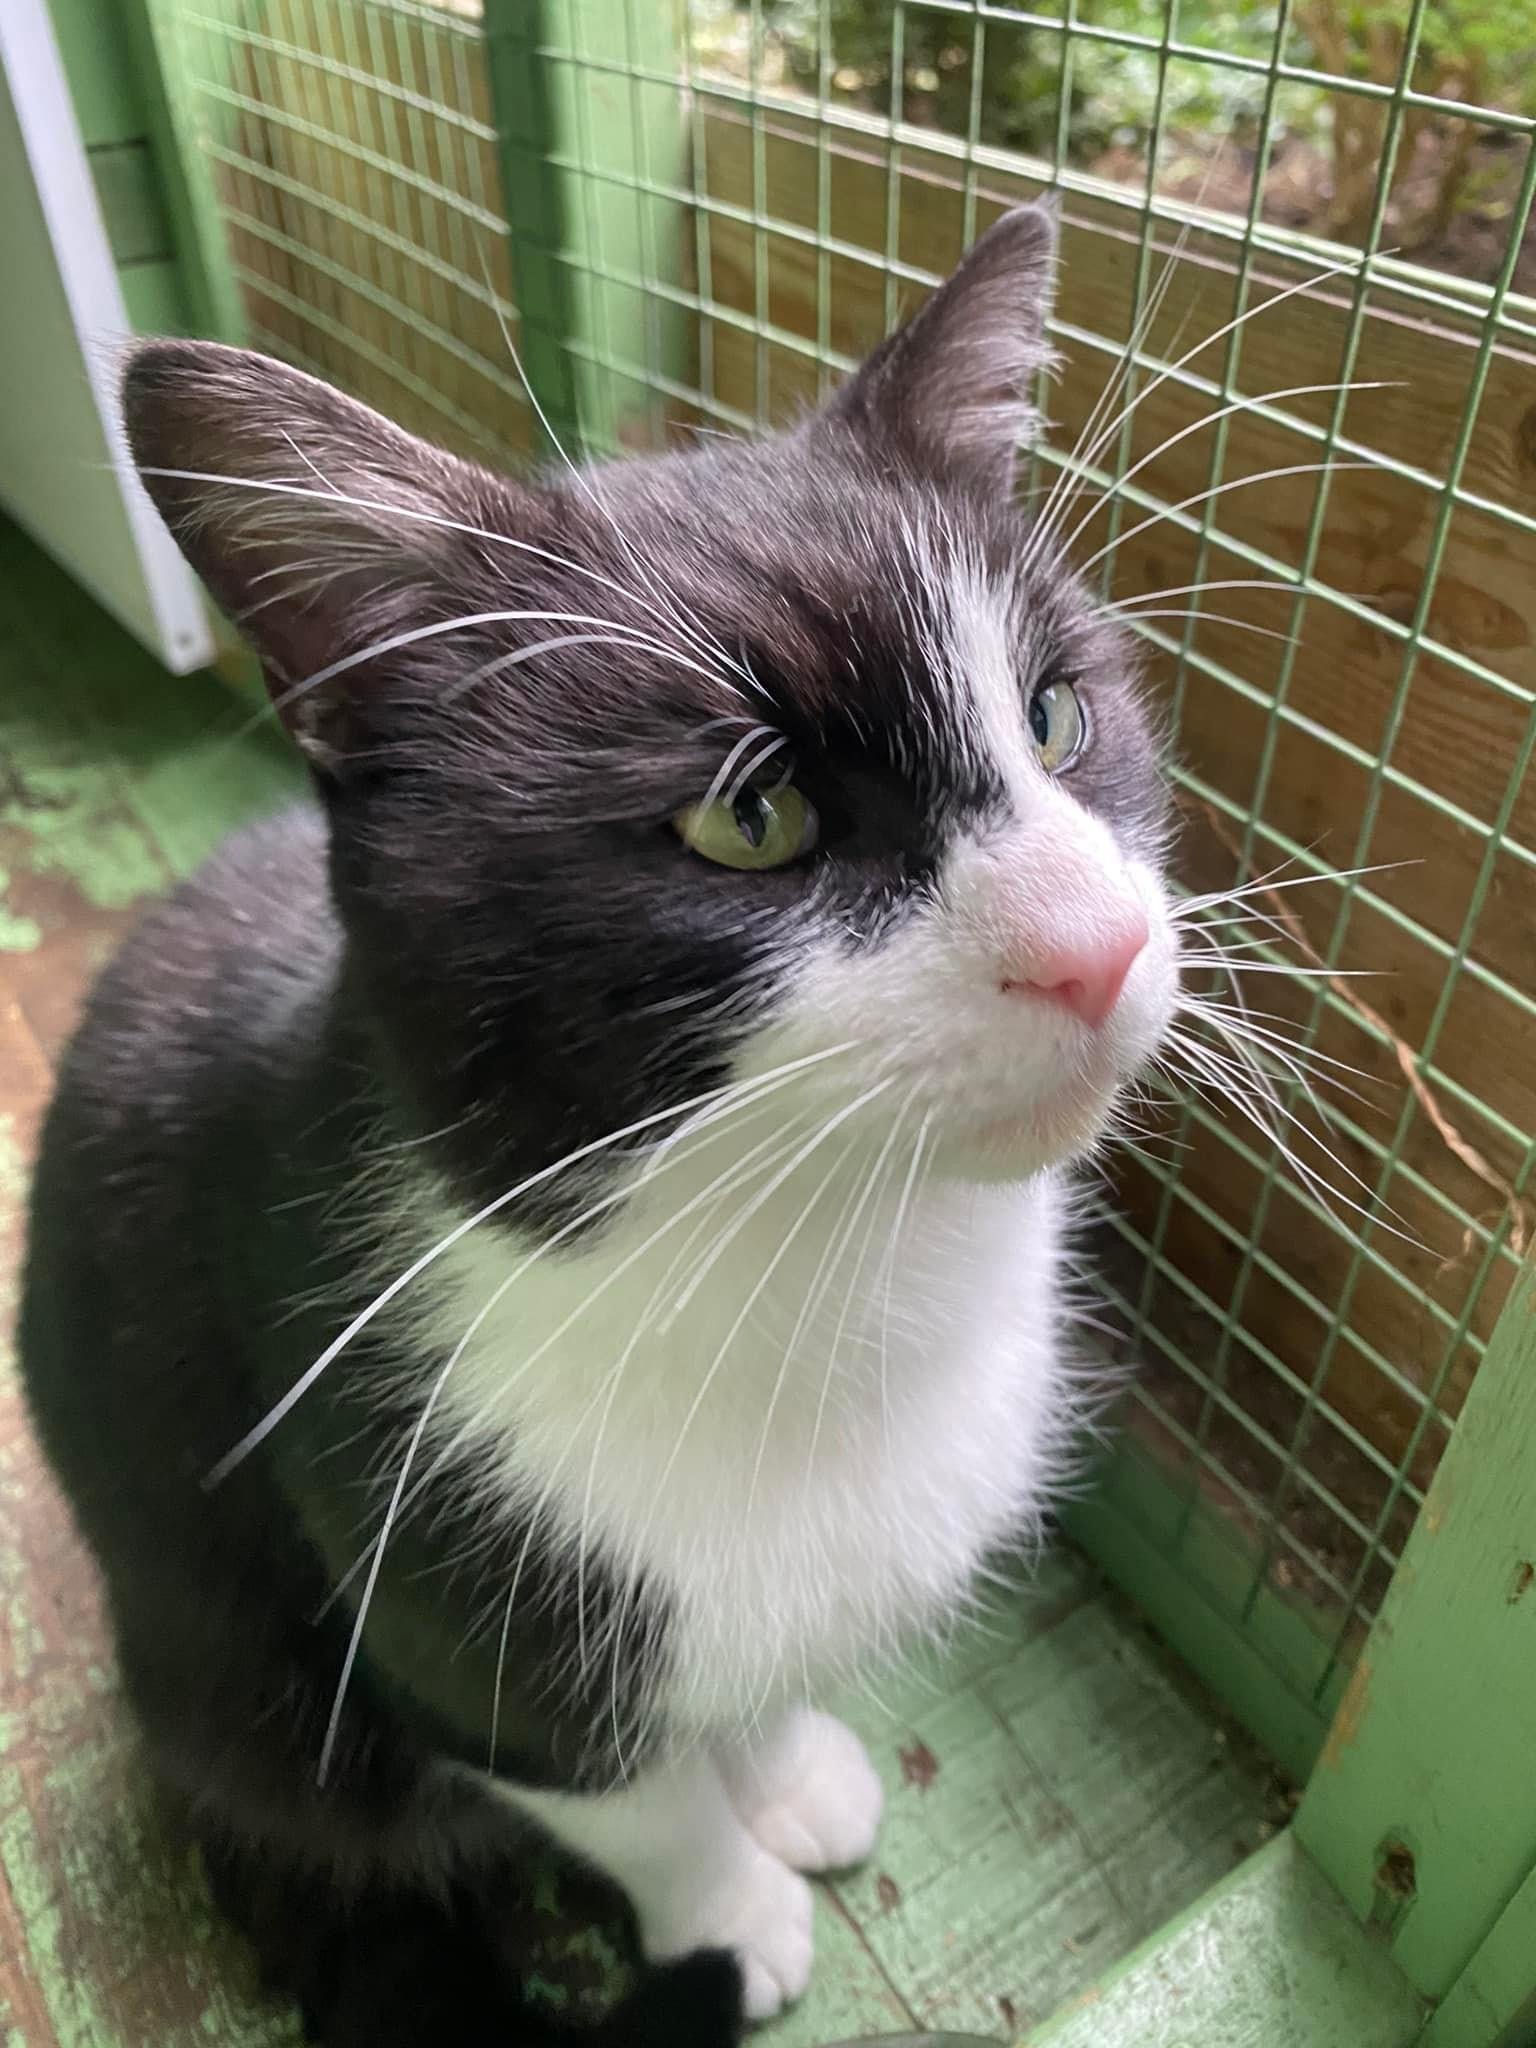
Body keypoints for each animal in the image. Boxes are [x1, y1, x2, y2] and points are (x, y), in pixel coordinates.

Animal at [20, 195, 1179, 2048]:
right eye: (751, 818)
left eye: (1060, 718)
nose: (1098, 944)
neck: (844, 1289)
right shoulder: (429, 1568)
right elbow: (621, 1786)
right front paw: (736, 1908)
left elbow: (745, 1682)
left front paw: (786, 1770)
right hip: (228, 1677)